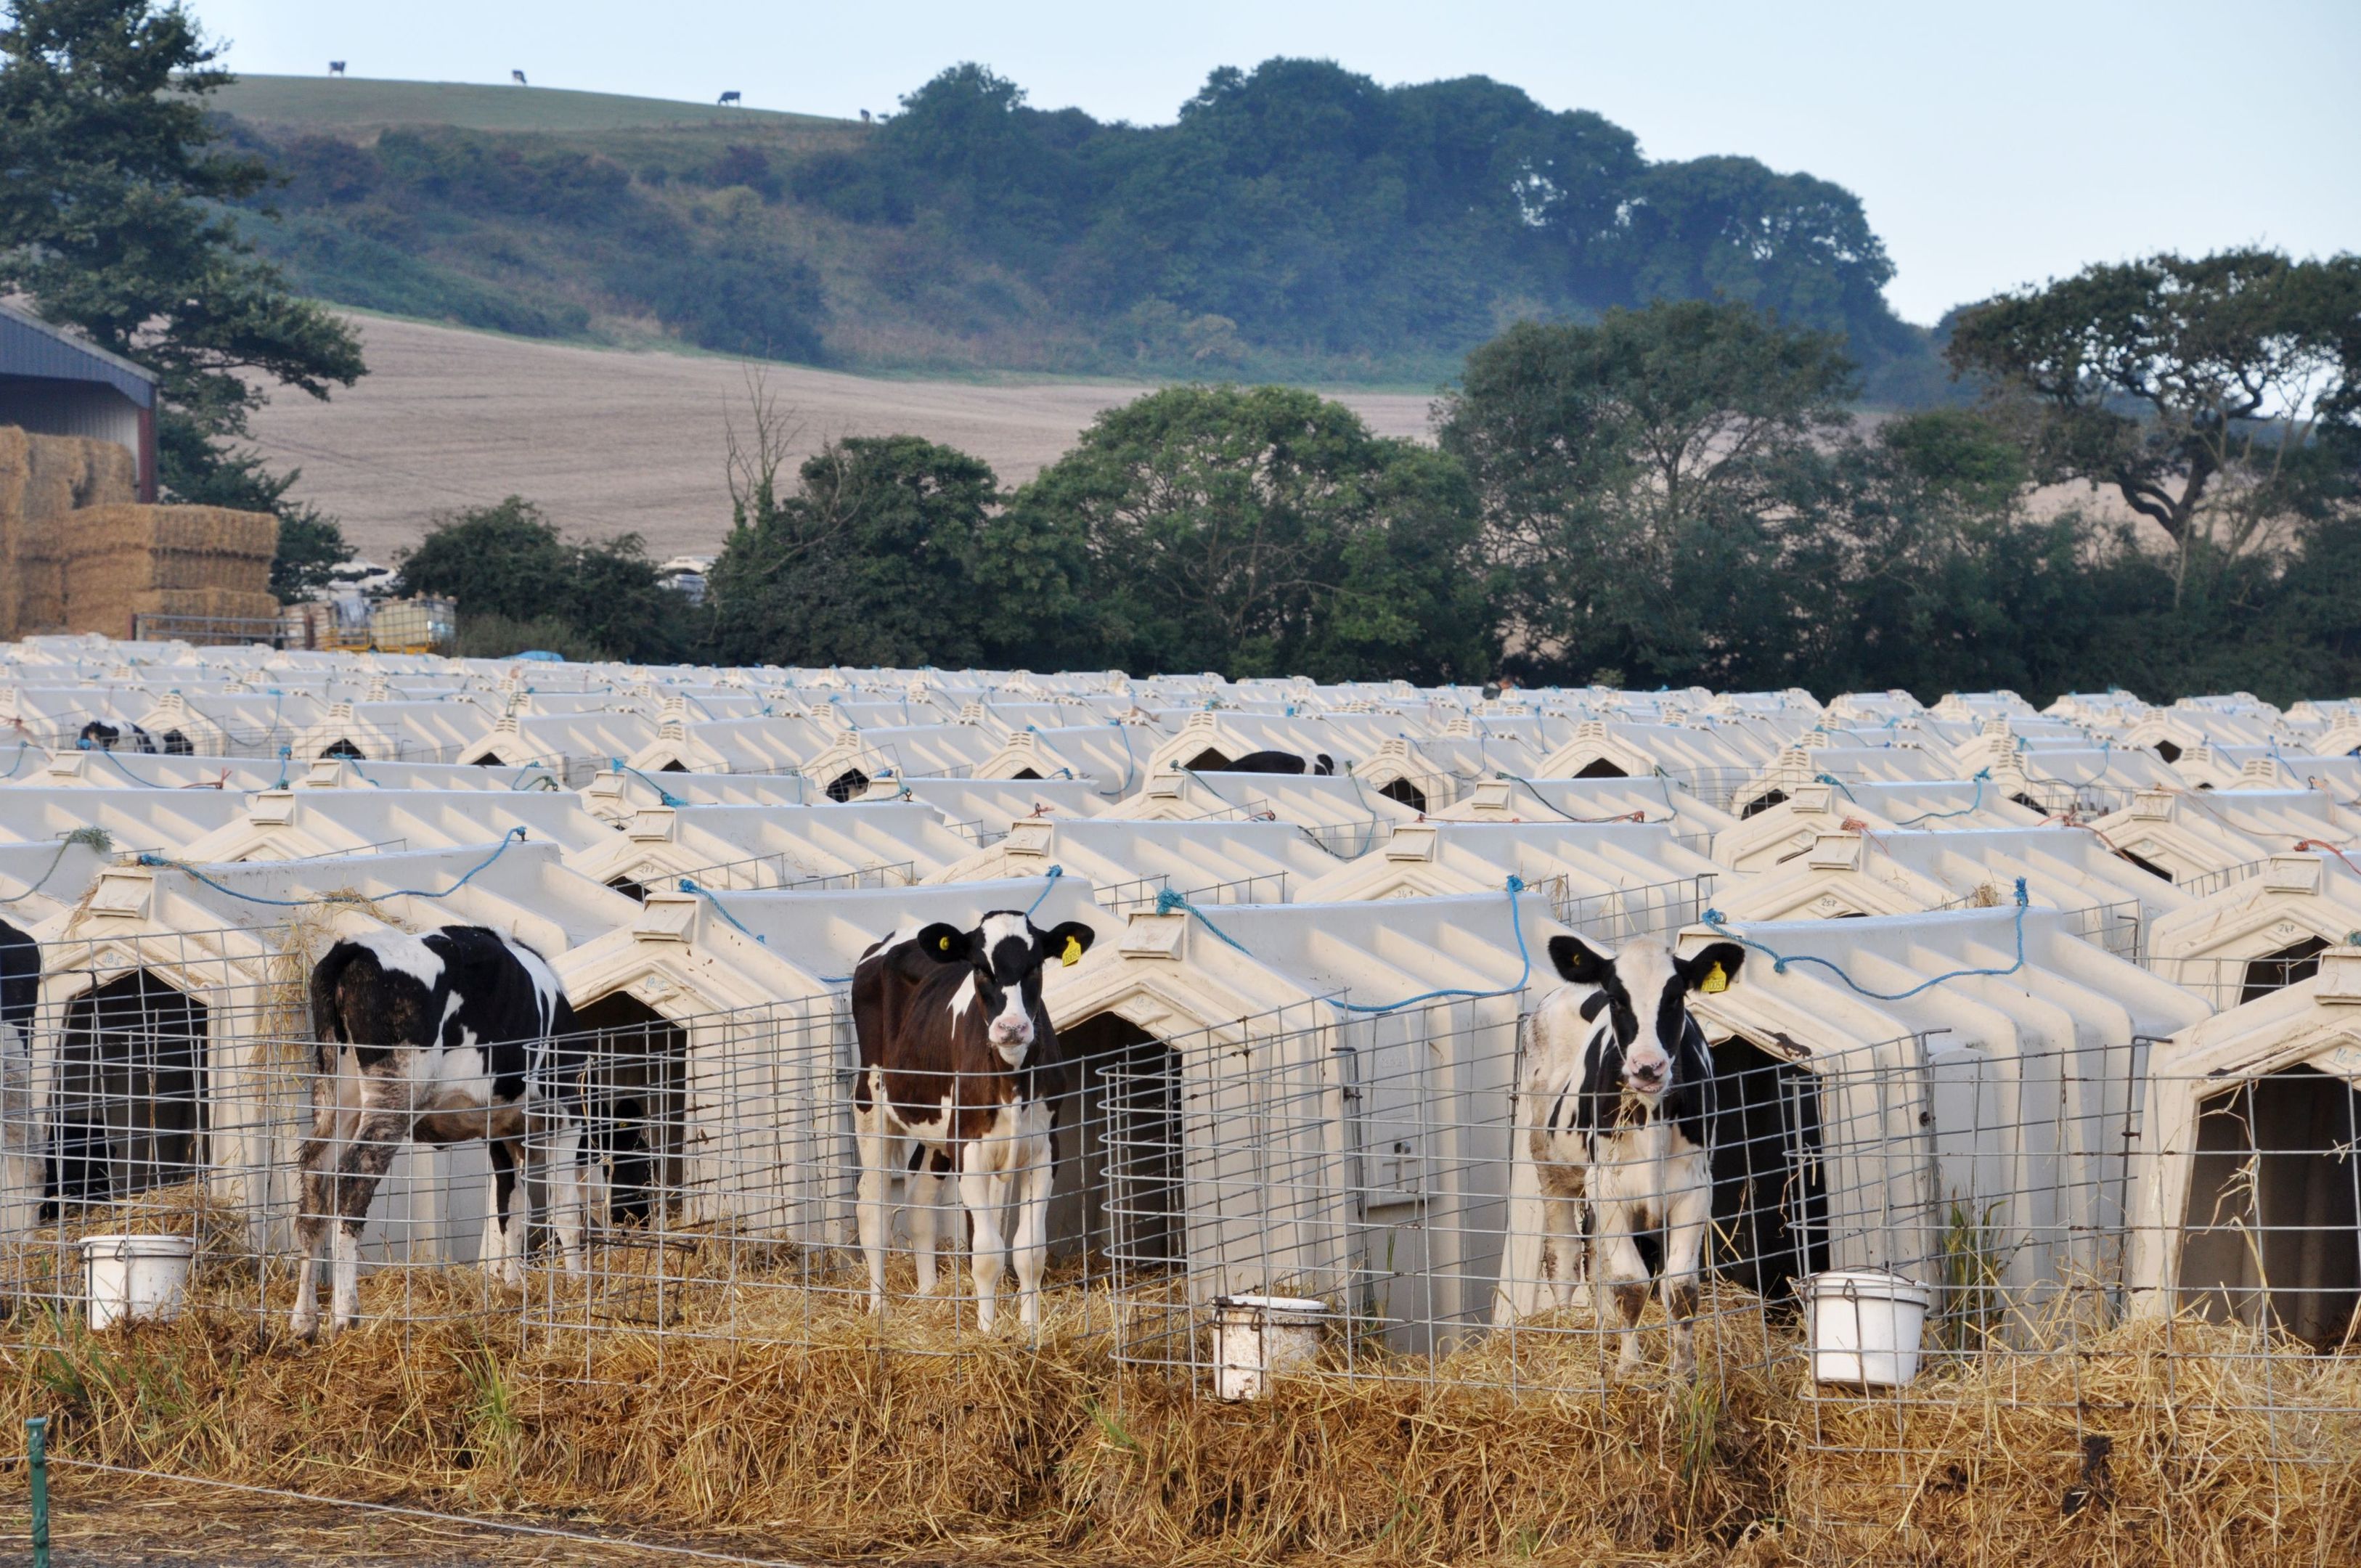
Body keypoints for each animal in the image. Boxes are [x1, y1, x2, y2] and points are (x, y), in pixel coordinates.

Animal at [290, 926, 585, 1341]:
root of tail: (353, 949)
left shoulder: (502, 1132)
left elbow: (511, 1212)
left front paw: (514, 1288)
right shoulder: (565, 1114)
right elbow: (565, 1211)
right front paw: (576, 1289)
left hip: (336, 1094)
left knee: (315, 1182)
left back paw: (304, 1319)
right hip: (393, 1096)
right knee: (352, 1181)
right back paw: (346, 1313)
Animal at [849, 911, 1095, 1331]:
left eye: (1035, 966)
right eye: (981, 969)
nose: (1011, 1028)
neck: (1011, 1078)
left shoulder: (1045, 1150)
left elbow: (1029, 1250)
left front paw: (1029, 1330)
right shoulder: (971, 1150)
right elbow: (986, 1253)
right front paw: (987, 1331)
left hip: (937, 1128)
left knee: (920, 1199)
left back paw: (929, 1297)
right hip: (870, 1100)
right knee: (873, 1205)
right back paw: (878, 1309)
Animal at [1520, 930, 1747, 1369]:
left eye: (1675, 996)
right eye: (1617, 999)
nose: (1647, 1067)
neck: (1652, 1115)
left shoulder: (1694, 1189)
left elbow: (1680, 1288)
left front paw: (1684, 1372)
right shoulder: (1610, 1188)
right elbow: (1631, 1283)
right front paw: (1629, 1368)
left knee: (1595, 1258)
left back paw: (1604, 1324)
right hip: (1553, 1169)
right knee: (1565, 1257)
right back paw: (1568, 1327)